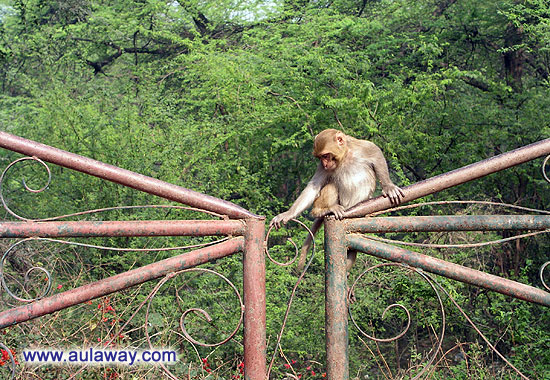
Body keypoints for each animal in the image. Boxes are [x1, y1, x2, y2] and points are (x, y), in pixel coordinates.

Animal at [272, 129, 406, 272]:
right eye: (320, 158)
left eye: (326, 156)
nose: (325, 164)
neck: (345, 156)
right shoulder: (321, 168)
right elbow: (314, 186)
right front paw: (288, 214)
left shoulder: (364, 147)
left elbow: (377, 155)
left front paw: (388, 186)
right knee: (332, 186)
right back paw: (320, 211)